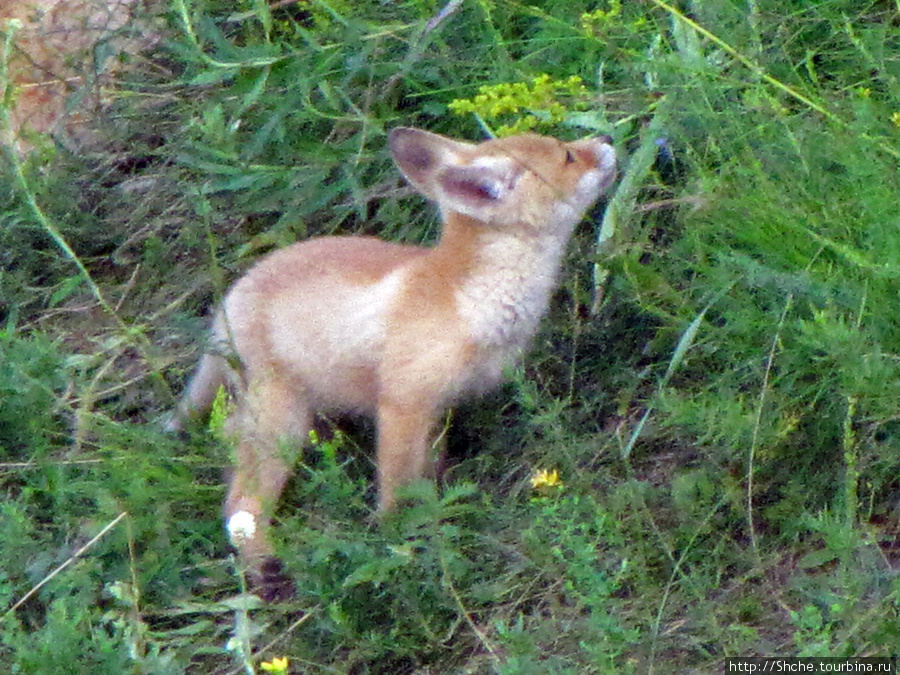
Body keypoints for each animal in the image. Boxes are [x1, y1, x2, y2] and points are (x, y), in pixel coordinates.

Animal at [167, 127, 620, 604]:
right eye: (568, 156)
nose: (607, 136)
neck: (467, 300)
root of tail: (228, 301)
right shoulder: (403, 403)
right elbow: (396, 492)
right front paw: (399, 546)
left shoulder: (437, 409)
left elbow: (430, 474)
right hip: (281, 425)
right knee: (239, 507)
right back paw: (268, 572)